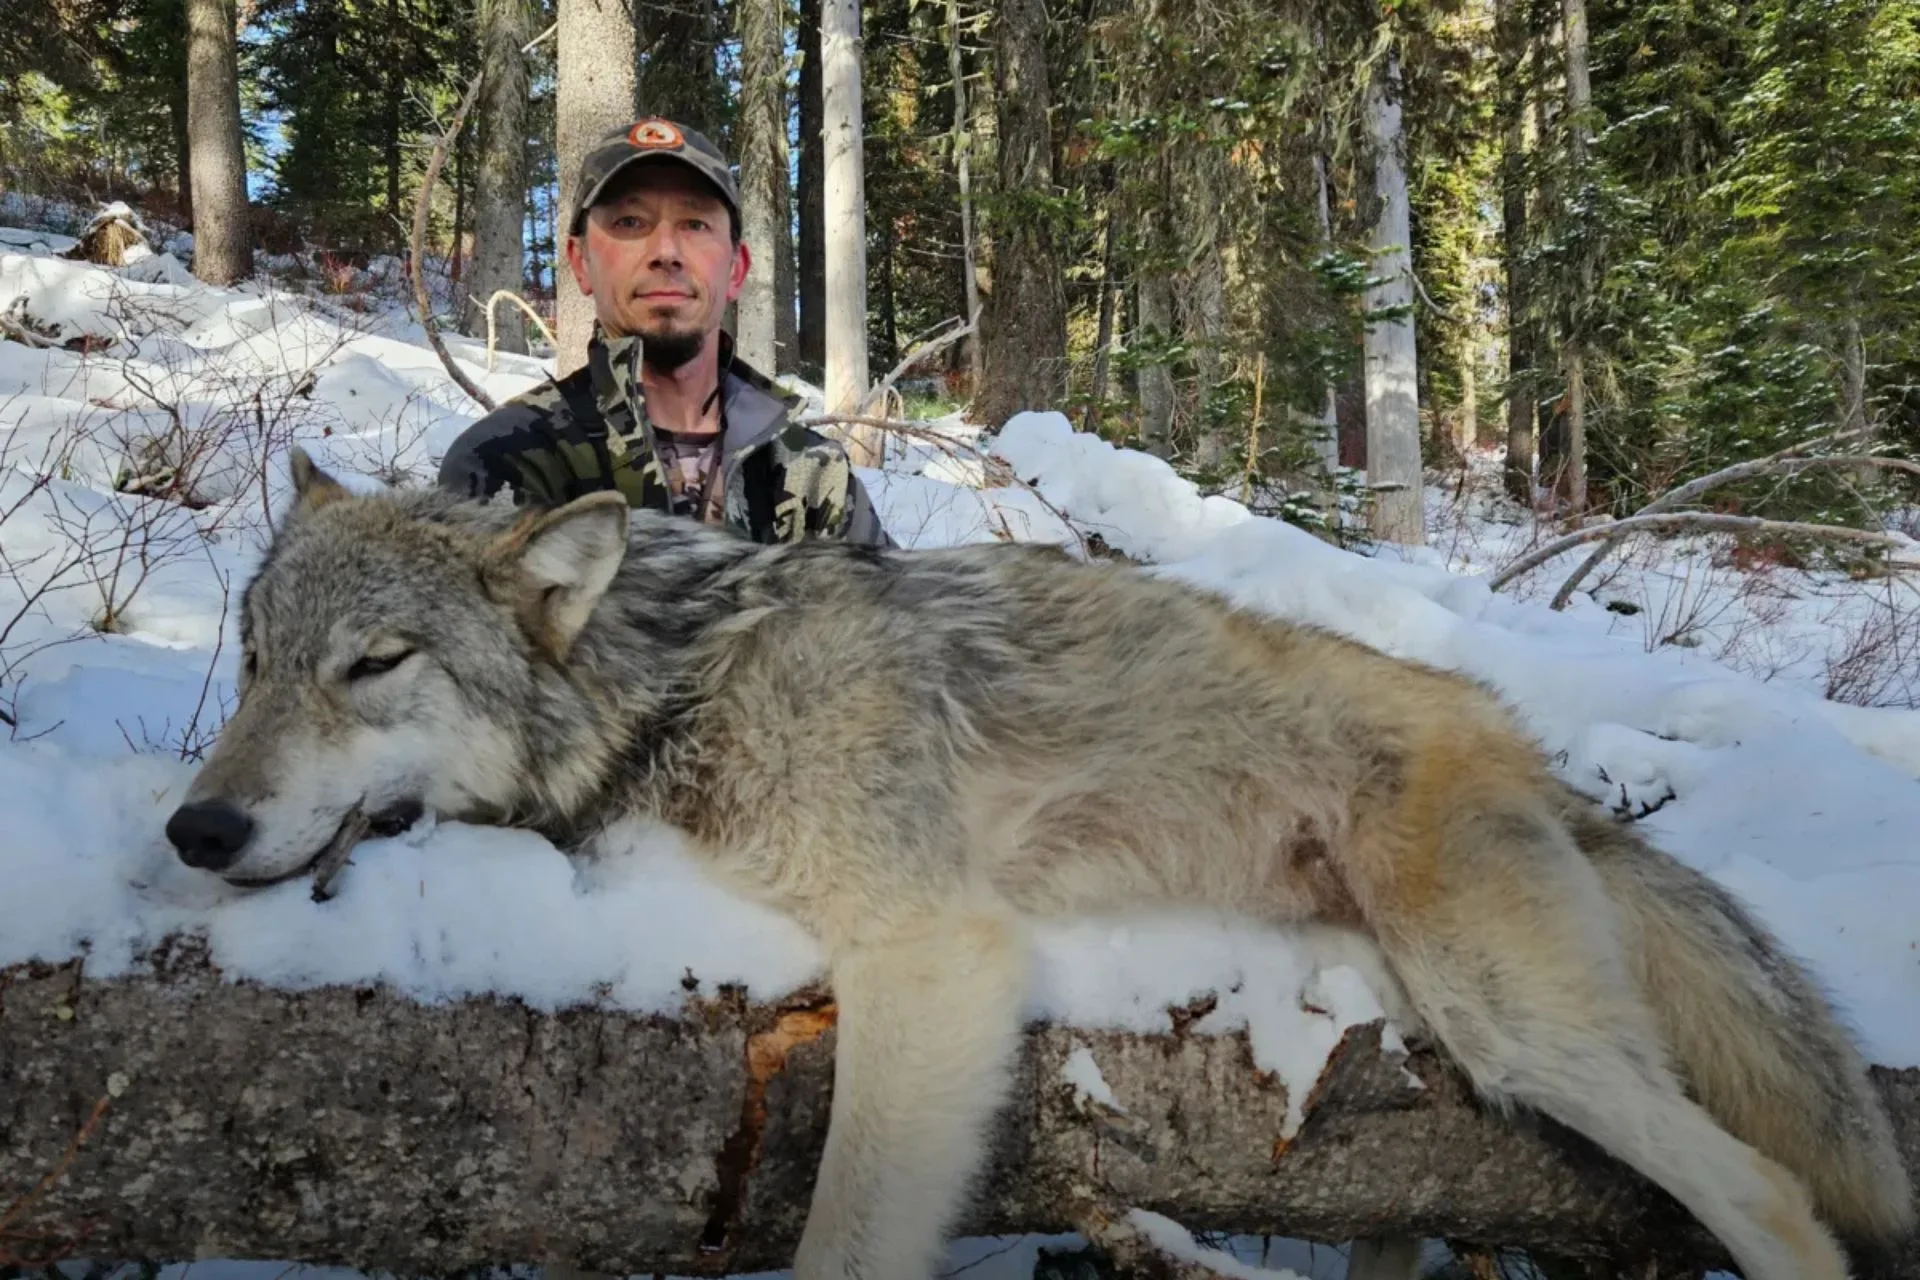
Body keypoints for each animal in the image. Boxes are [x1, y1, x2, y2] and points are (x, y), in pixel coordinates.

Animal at [165, 449, 1913, 1280]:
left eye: (373, 666)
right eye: (254, 662)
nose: (196, 833)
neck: (682, 685)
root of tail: (1534, 751)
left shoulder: (931, 958)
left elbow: (843, 1246)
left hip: (1507, 1020)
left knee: (1769, 1190)